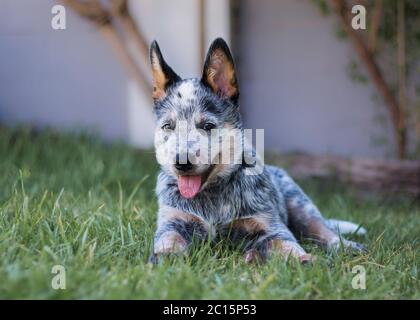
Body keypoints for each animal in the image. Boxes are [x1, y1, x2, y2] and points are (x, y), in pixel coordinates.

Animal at [149, 37, 366, 264]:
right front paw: (164, 259)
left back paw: (346, 246)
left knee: (320, 228)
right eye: (168, 126)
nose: (181, 162)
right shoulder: (173, 220)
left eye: (208, 126)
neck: (213, 196)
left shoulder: (268, 224)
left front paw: (305, 260)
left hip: (300, 203)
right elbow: (169, 239)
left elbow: (288, 244)